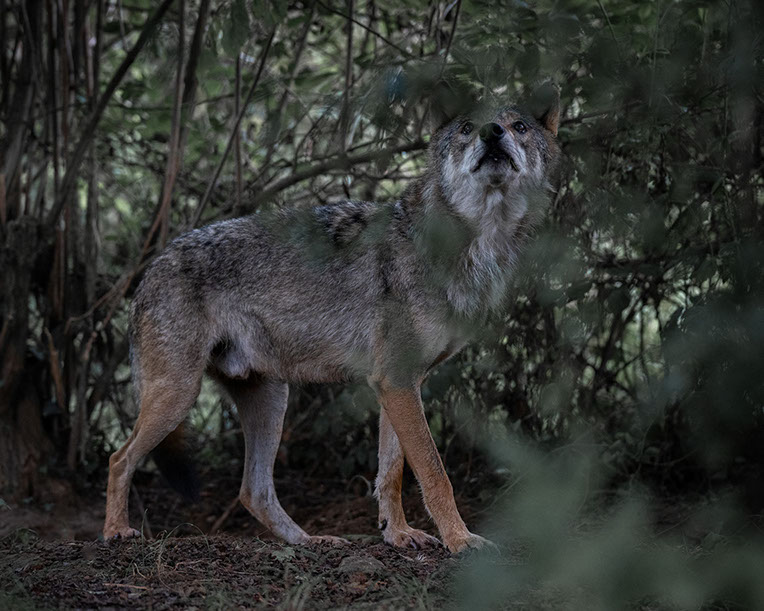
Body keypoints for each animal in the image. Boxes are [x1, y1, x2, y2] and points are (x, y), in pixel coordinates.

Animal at [103, 87, 562, 553]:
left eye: (518, 126)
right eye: (468, 127)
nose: (492, 132)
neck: (470, 243)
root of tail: (152, 266)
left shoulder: (399, 383)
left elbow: (391, 473)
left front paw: (398, 534)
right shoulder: (396, 382)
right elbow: (434, 474)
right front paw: (459, 539)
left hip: (270, 400)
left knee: (254, 491)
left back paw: (311, 541)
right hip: (178, 395)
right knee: (119, 459)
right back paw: (116, 531)